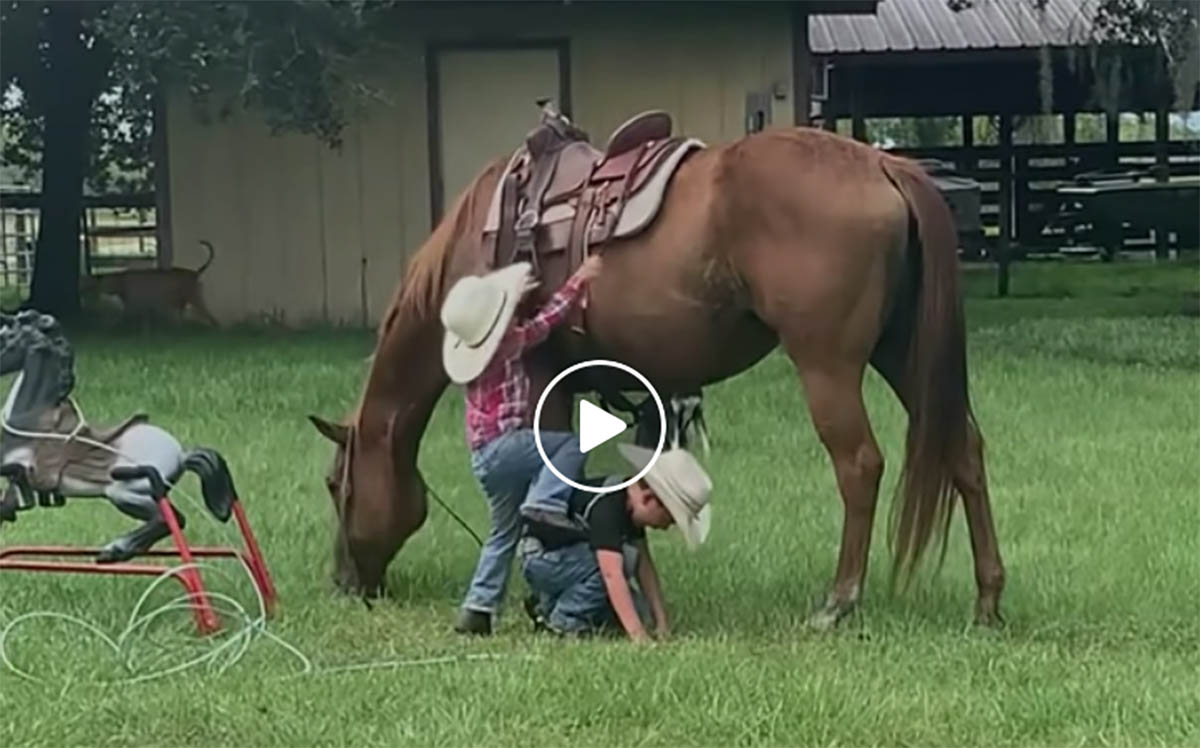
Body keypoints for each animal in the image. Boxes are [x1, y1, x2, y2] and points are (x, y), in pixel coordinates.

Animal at [82, 238, 220, 324]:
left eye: (106, 282)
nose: (100, 289)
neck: (122, 281)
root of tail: (195, 273)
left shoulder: (134, 305)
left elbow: (122, 318)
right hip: (183, 300)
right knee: (183, 315)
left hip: (194, 298)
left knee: (208, 315)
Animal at [307, 127, 1003, 624]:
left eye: (336, 486)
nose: (343, 583)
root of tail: (884, 165)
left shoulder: (541, 380)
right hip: (903, 354)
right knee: (964, 449)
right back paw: (988, 600)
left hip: (827, 362)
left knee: (859, 465)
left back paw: (838, 603)